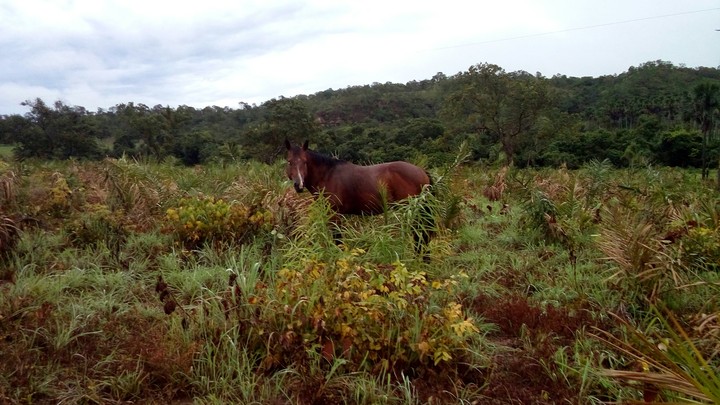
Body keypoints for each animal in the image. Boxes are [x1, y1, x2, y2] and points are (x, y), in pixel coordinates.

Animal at [284, 139, 434, 252]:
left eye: (304, 162)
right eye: (289, 162)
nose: (298, 184)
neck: (327, 175)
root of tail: (421, 171)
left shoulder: (335, 215)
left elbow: (338, 240)